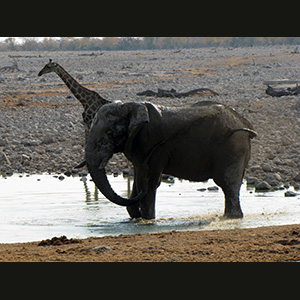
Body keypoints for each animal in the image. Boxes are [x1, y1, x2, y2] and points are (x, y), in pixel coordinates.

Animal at [84, 99, 255, 219]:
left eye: (110, 133)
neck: (131, 106)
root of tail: (245, 124)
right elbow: (139, 178)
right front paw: (136, 217)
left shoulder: (154, 148)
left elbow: (149, 182)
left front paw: (148, 219)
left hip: (232, 145)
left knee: (227, 183)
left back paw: (232, 217)